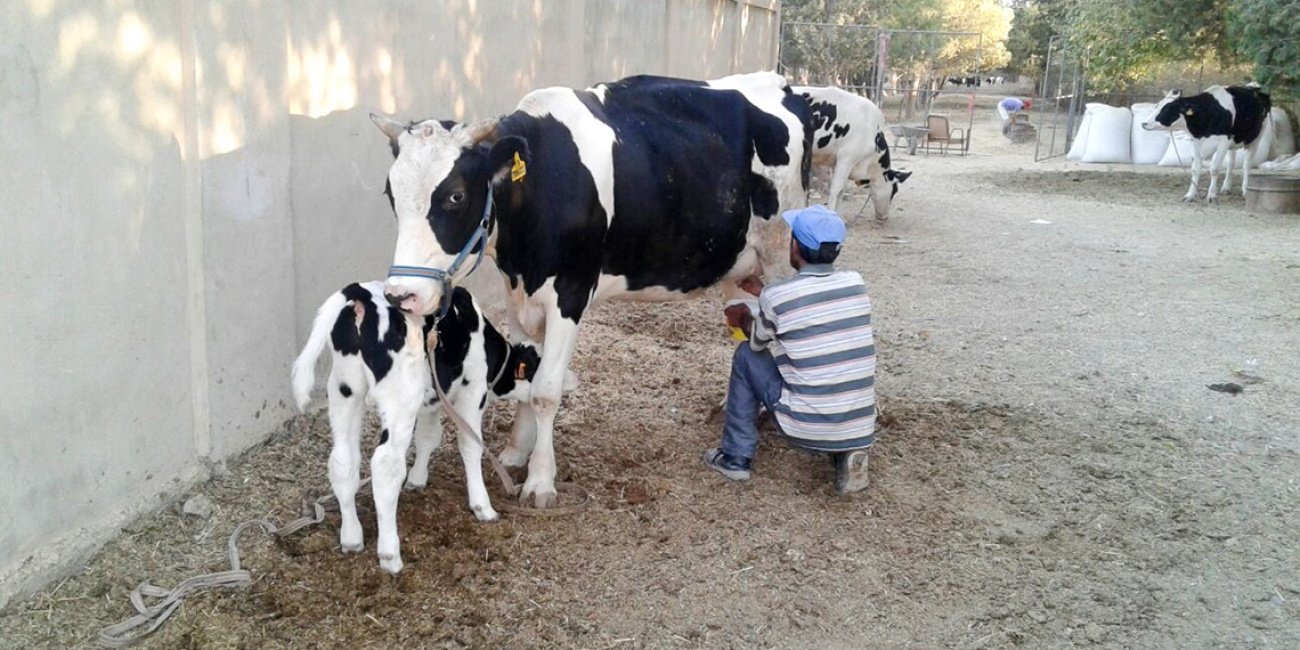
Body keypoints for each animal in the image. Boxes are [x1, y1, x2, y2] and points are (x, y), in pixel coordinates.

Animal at [293, 282, 564, 572]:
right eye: (535, 369)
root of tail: (361, 293)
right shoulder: (473, 390)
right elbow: (470, 444)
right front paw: (482, 506)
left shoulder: (432, 395)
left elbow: (428, 437)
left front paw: (417, 478)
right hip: (399, 399)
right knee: (385, 466)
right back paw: (390, 555)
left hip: (344, 391)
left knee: (343, 461)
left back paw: (352, 537)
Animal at [371, 71, 806, 506]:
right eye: (391, 194)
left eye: (456, 195)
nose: (401, 295)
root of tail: (776, 81)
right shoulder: (518, 294)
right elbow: (528, 371)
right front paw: (515, 453)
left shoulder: (571, 293)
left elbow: (546, 390)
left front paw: (540, 480)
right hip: (739, 266)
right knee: (747, 330)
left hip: (779, 253)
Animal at [790, 84, 915, 218]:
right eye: (894, 190)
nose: (884, 217)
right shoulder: (847, 158)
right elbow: (836, 189)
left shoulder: (837, 162)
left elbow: (842, 190)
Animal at [1144, 83, 1274, 200]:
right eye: (1157, 105)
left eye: (1167, 109)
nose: (1144, 123)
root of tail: (1255, 89)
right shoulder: (1196, 142)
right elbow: (1195, 169)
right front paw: (1190, 195)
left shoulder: (1223, 142)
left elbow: (1214, 169)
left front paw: (1211, 195)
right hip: (1233, 142)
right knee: (1231, 163)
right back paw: (1226, 187)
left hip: (1255, 139)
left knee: (1246, 165)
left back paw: (1245, 190)